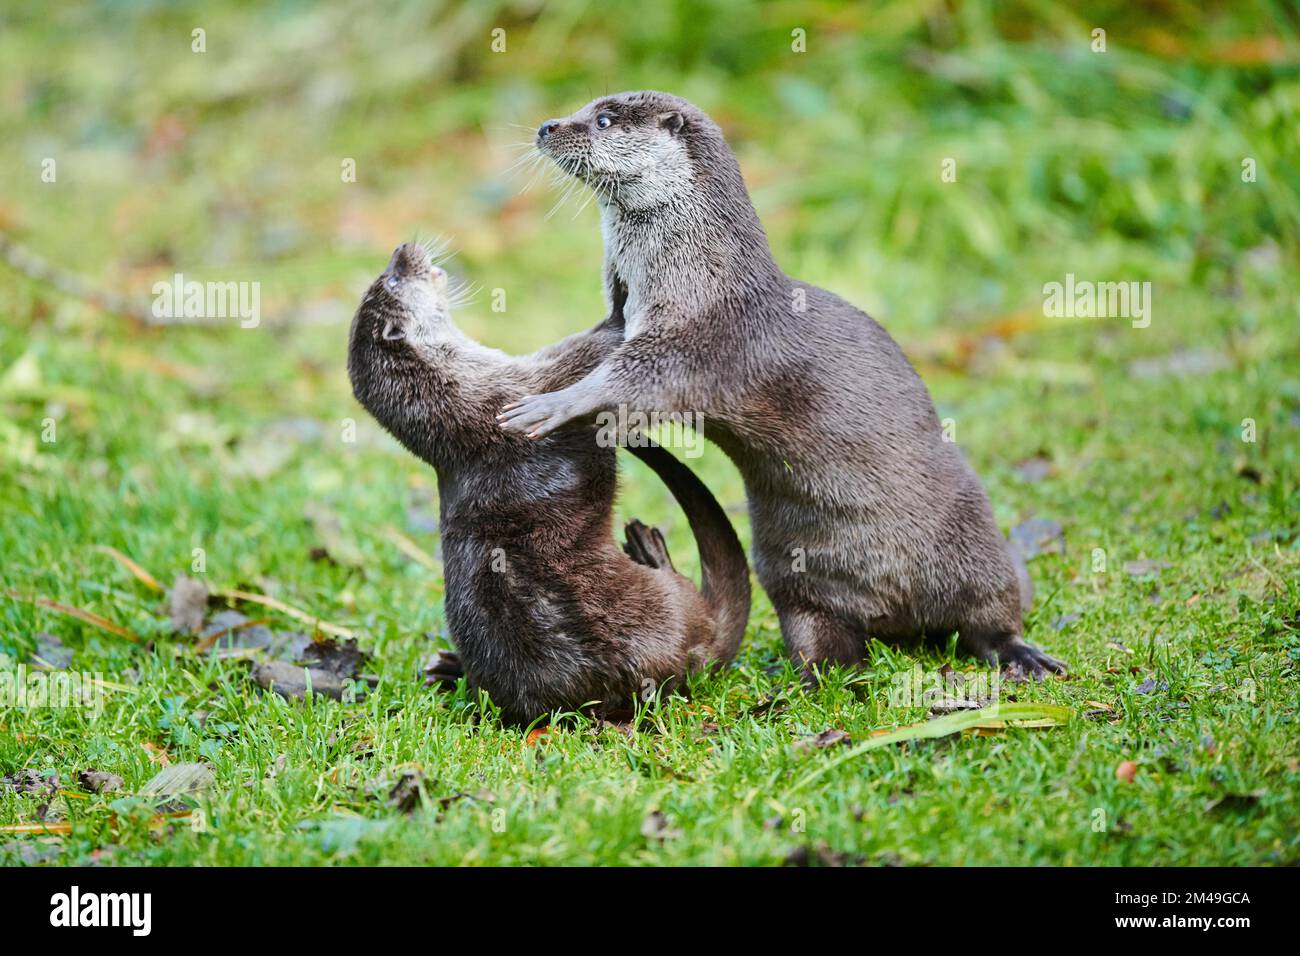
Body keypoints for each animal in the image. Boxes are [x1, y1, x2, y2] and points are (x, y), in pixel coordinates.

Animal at [348, 242, 751, 724]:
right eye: (393, 279)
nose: (402, 249)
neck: (462, 395)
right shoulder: (532, 381)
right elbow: (593, 346)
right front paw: (619, 305)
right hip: (670, 606)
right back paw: (649, 547)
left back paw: (447, 667)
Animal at [497, 91, 1064, 679]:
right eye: (584, 107)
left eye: (603, 119)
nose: (547, 126)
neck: (697, 271)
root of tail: (899, 615)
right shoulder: (618, 317)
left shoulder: (701, 339)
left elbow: (634, 379)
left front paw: (550, 405)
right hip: (792, 578)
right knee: (821, 631)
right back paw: (808, 676)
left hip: (974, 544)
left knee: (989, 616)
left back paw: (1021, 653)